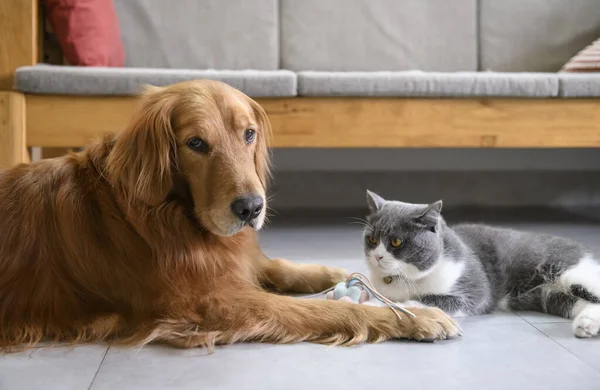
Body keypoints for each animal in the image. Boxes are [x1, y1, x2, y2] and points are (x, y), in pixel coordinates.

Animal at [360, 190, 600, 336]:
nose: (377, 256)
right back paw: (586, 325)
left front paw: (379, 306)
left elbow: (428, 299)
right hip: (550, 295)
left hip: (569, 270)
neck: (403, 279)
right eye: (371, 239)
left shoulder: (475, 290)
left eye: (396, 242)